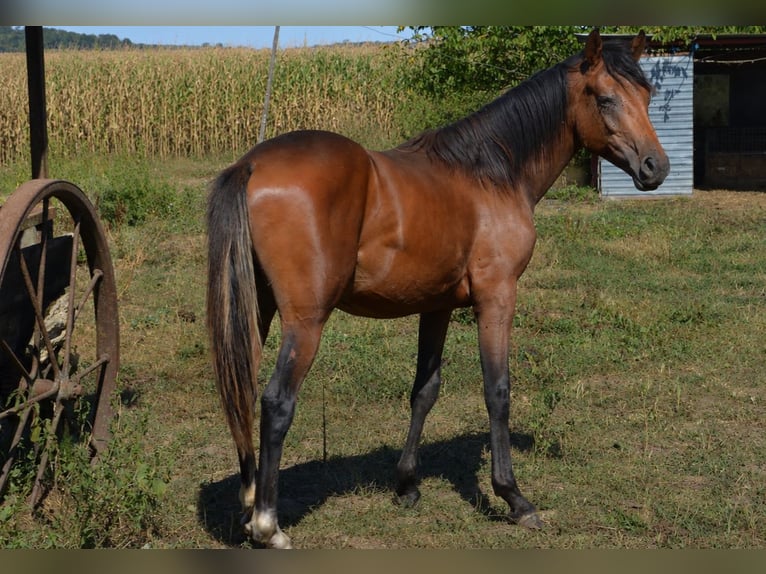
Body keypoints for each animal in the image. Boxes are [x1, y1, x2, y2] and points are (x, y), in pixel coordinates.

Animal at [205, 29, 669, 548]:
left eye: (646, 95)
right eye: (605, 98)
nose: (655, 167)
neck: (490, 173)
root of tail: (251, 165)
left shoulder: (437, 306)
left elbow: (424, 390)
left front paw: (406, 485)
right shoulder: (497, 296)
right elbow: (497, 390)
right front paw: (514, 498)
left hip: (255, 312)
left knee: (242, 391)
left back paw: (248, 505)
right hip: (304, 323)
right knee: (276, 402)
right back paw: (268, 524)